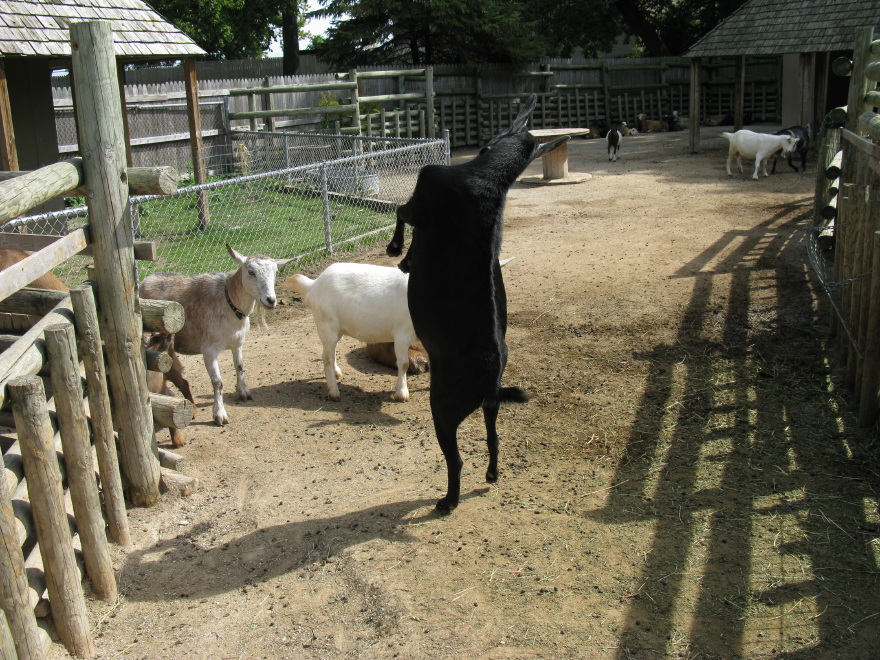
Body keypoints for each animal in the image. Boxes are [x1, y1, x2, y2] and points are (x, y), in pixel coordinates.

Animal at [136, 245, 290, 426]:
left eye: (275, 271)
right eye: (251, 272)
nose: (271, 300)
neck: (229, 303)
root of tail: (145, 280)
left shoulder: (237, 343)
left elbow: (239, 366)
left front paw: (243, 392)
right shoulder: (209, 350)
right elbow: (217, 382)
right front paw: (219, 414)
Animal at [286, 264, 416, 402]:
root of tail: (314, 284)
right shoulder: (402, 333)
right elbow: (404, 364)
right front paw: (402, 393)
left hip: (337, 329)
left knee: (330, 352)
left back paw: (336, 372)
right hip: (326, 324)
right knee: (327, 357)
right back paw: (334, 392)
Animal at [386, 94, 568, 516]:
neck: (488, 178)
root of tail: (492, 380)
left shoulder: (421, 200)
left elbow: (401, 212)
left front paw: (396, 249)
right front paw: (405, 259)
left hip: (443, 406)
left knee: (455, 459)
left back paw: (447, 501)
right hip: (490, 405)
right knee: (493, 437)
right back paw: (492, 475)